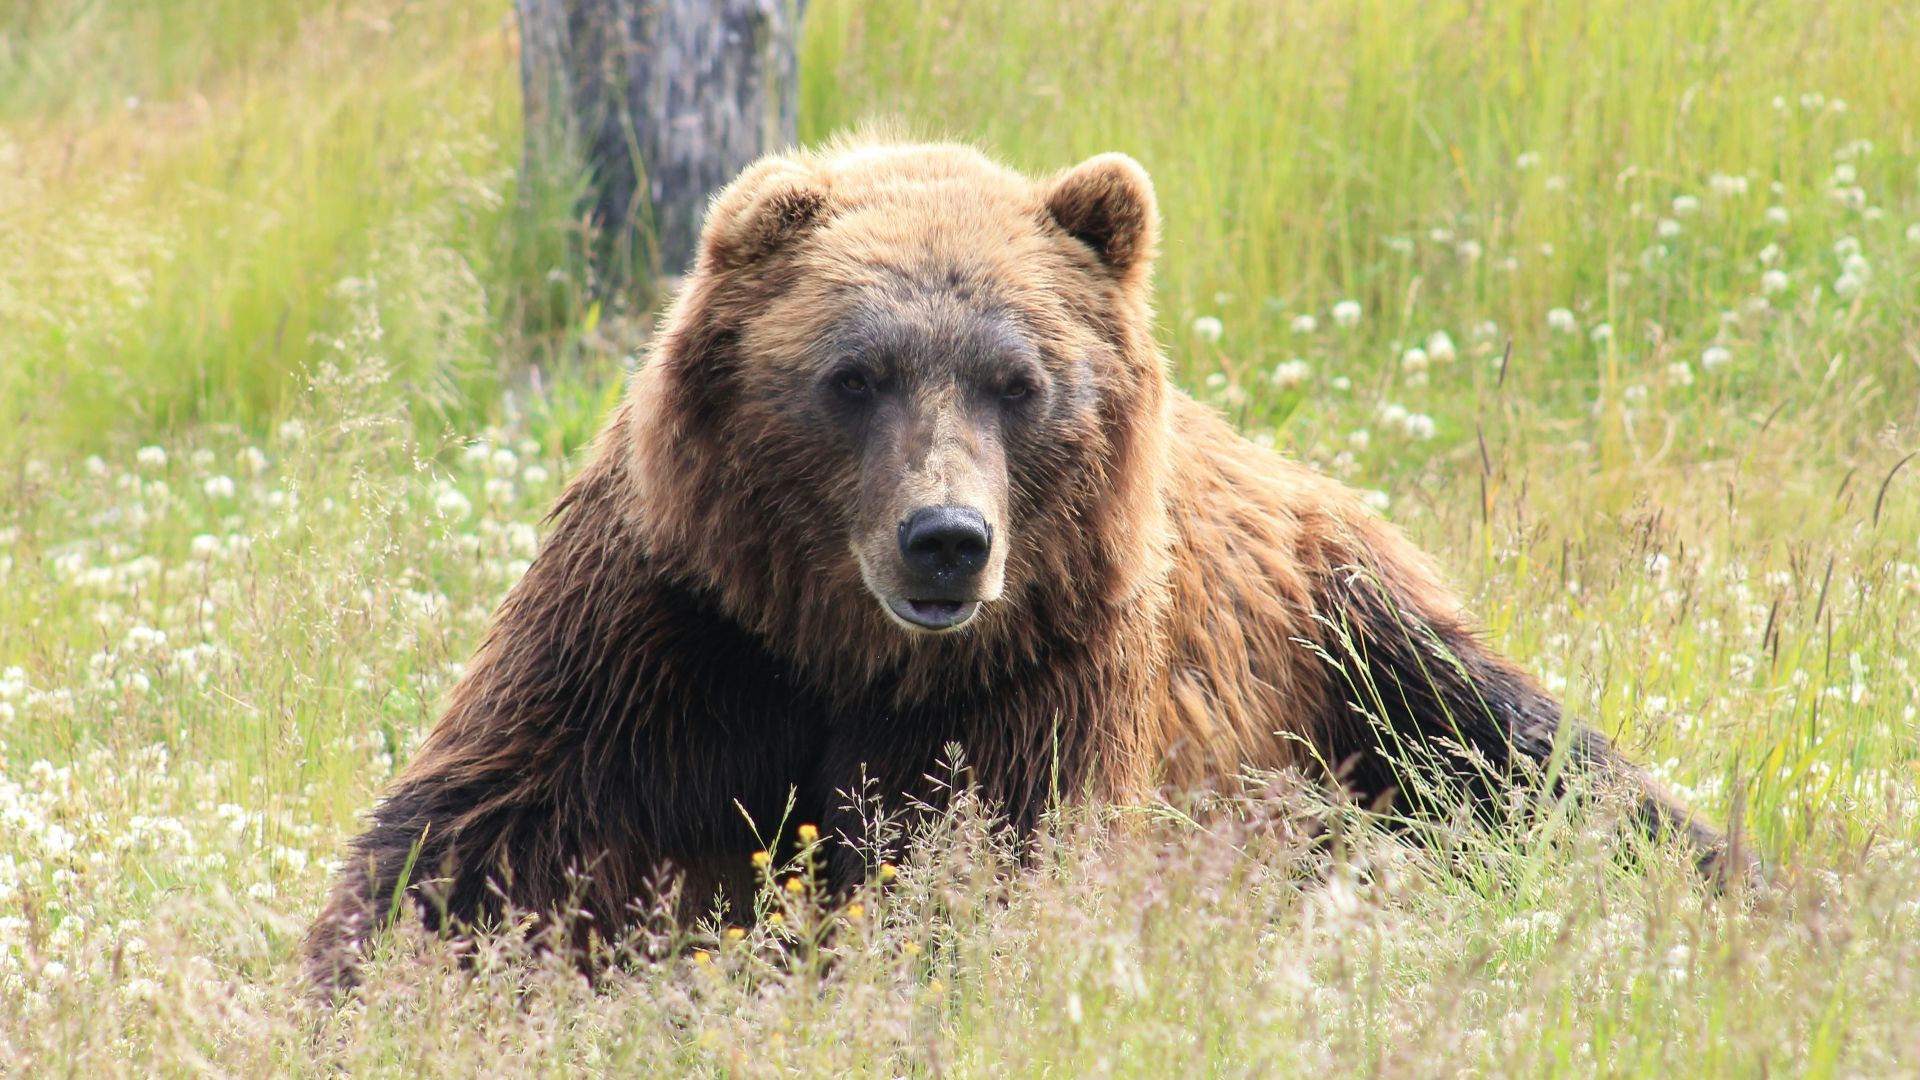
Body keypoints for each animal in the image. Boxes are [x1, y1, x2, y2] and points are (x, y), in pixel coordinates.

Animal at [303, 139, 1733, 994]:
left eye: (1019, 380)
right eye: (854, 374)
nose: (946, 537)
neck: (845, 651)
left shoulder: (1039, 674)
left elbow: (980, 874)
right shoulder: (674, 630)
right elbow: (488, 836)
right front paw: (371, 984)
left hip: (1352, 644)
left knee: (1533, 762)